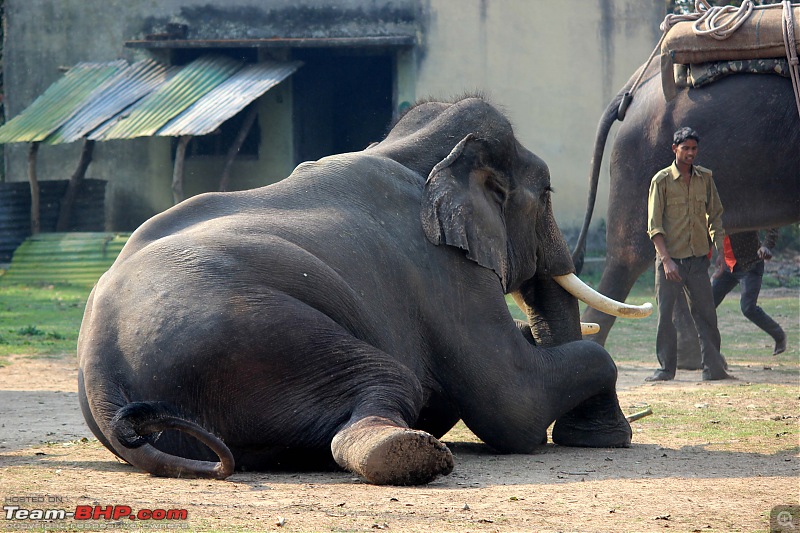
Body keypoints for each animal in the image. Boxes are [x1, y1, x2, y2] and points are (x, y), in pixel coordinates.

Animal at [76, 93, 648, 484]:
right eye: (548, 192)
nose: (600, 435)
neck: (411, 148)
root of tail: (101, 373)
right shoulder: (442, 270)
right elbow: (511, 403)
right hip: (252, 337)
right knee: (390, 381)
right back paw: (411, 454)